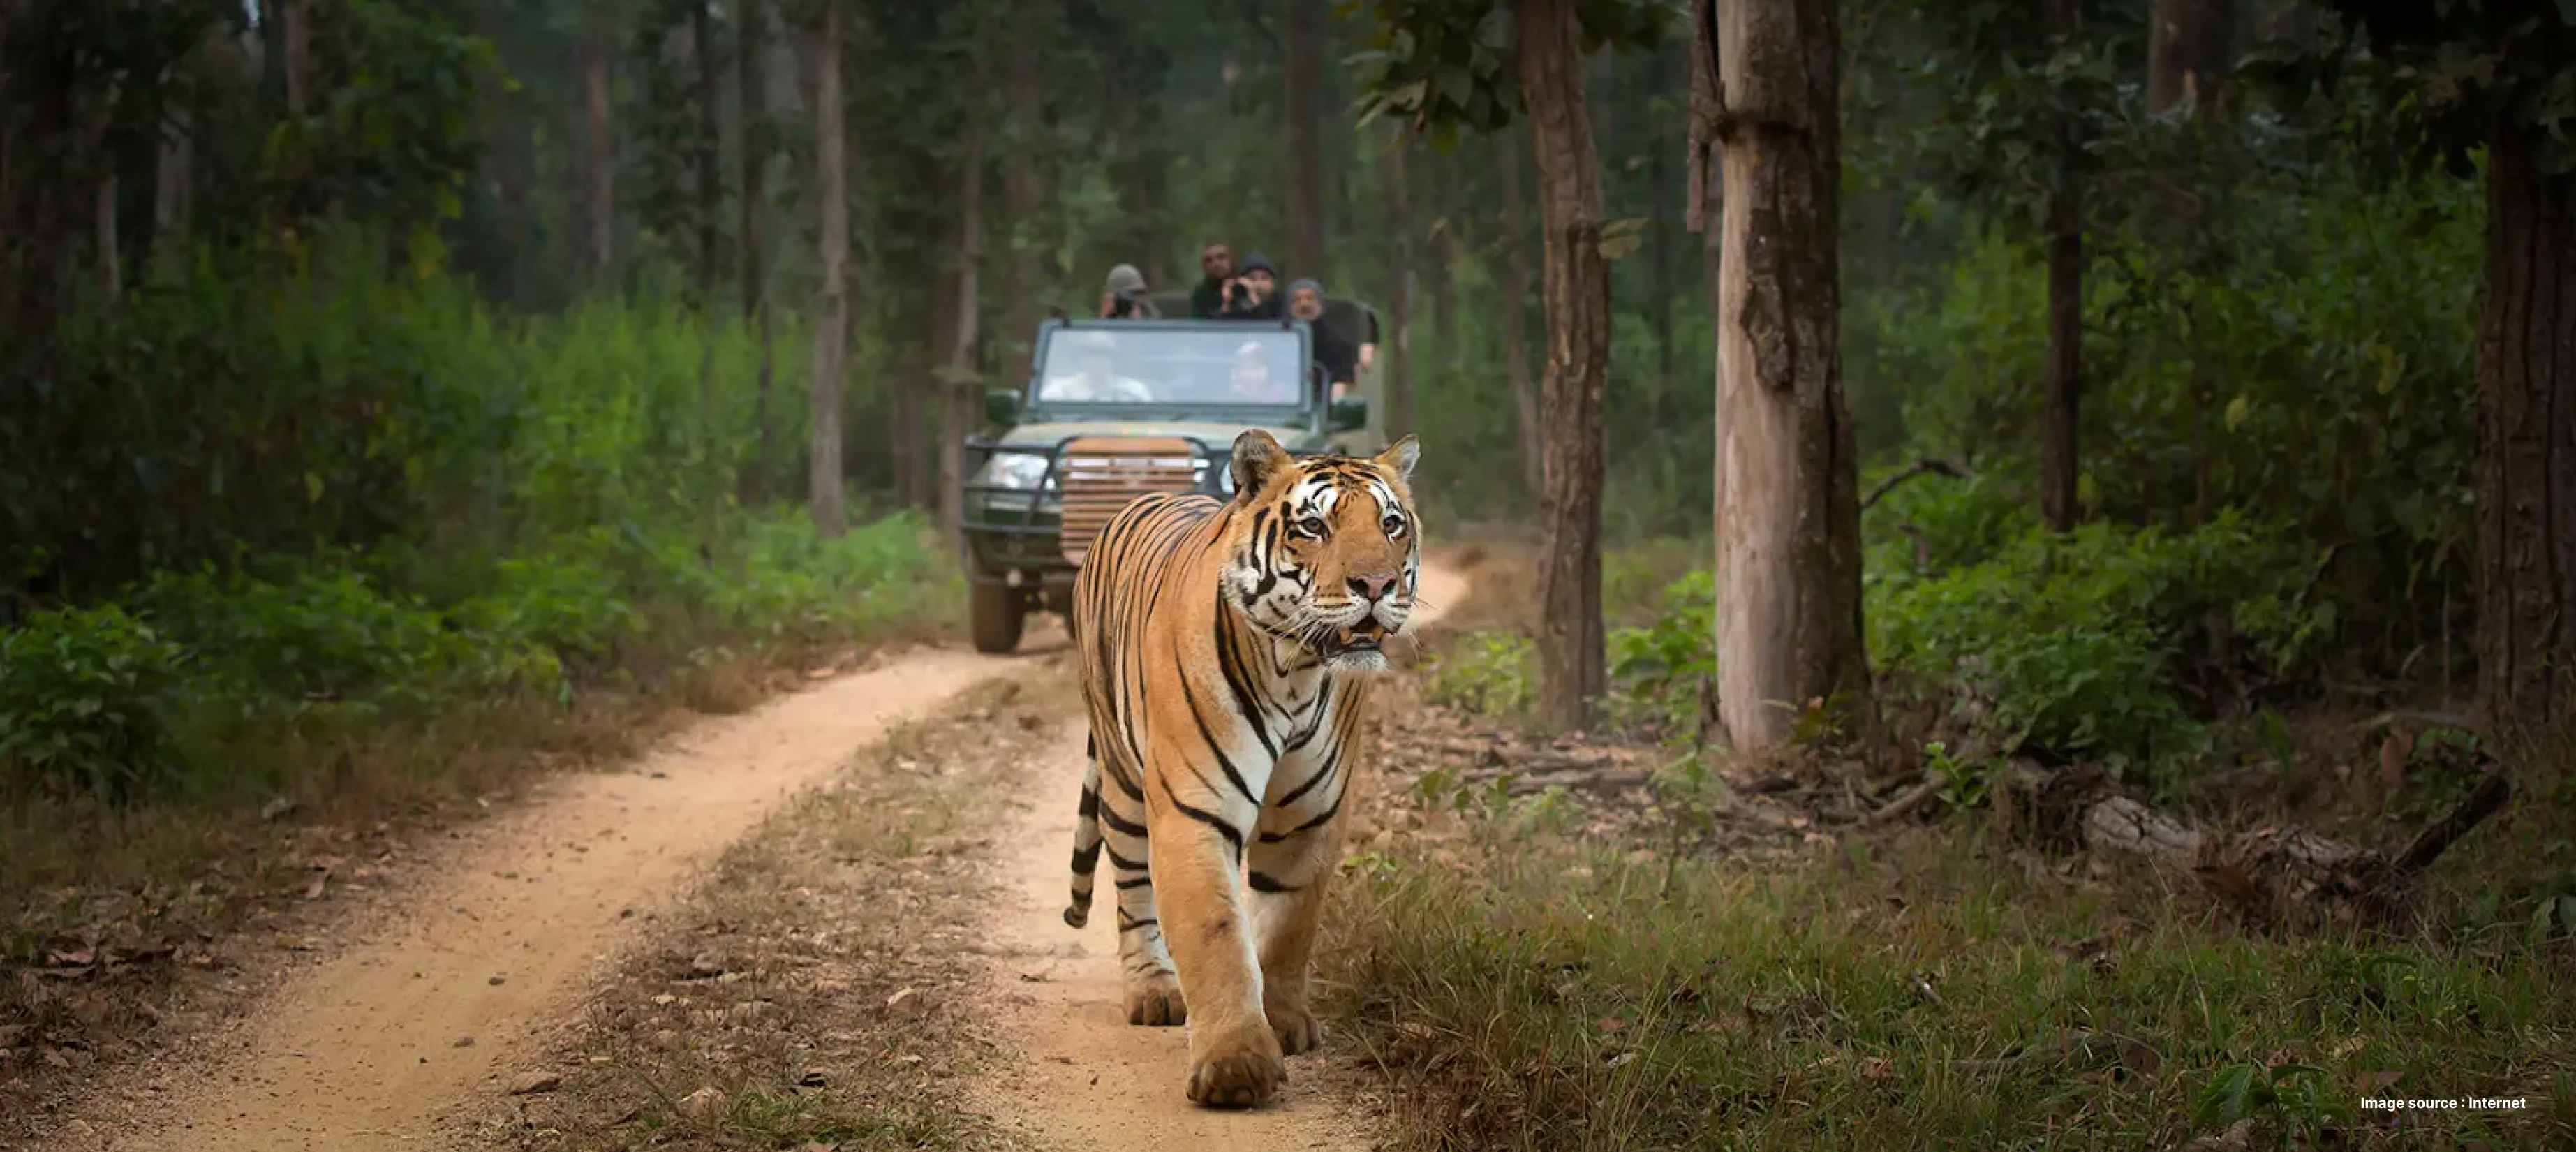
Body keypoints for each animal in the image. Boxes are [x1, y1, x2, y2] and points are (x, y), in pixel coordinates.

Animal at [1059, 428, 1423, 1108]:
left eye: (1391, 524)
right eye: (1314, 526)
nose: (1377, 584)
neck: (1296, 671)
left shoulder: (1311, 818)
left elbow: (1285, 927)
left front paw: (1283, 1022)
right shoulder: (1193, 811)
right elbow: (1215, 932)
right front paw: (1236, 1065)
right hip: (1122, 780)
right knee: (1132, 892)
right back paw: (1152, 990)